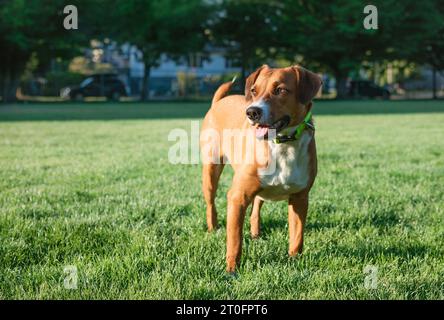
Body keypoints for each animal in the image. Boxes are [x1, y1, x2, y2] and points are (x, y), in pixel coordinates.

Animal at [201, 65, 322, 272]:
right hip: (211, 170)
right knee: (211, 202)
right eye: (253, 91)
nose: (251, 112)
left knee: (256, 206)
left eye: (280, 90)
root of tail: (219, 102)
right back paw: (213, 228)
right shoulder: (238, 197)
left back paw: (255, 233)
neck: (283, 144)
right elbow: (235, 239)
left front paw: (294, 261)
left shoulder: (300, 198)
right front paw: (231, 270)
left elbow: (297, 235)